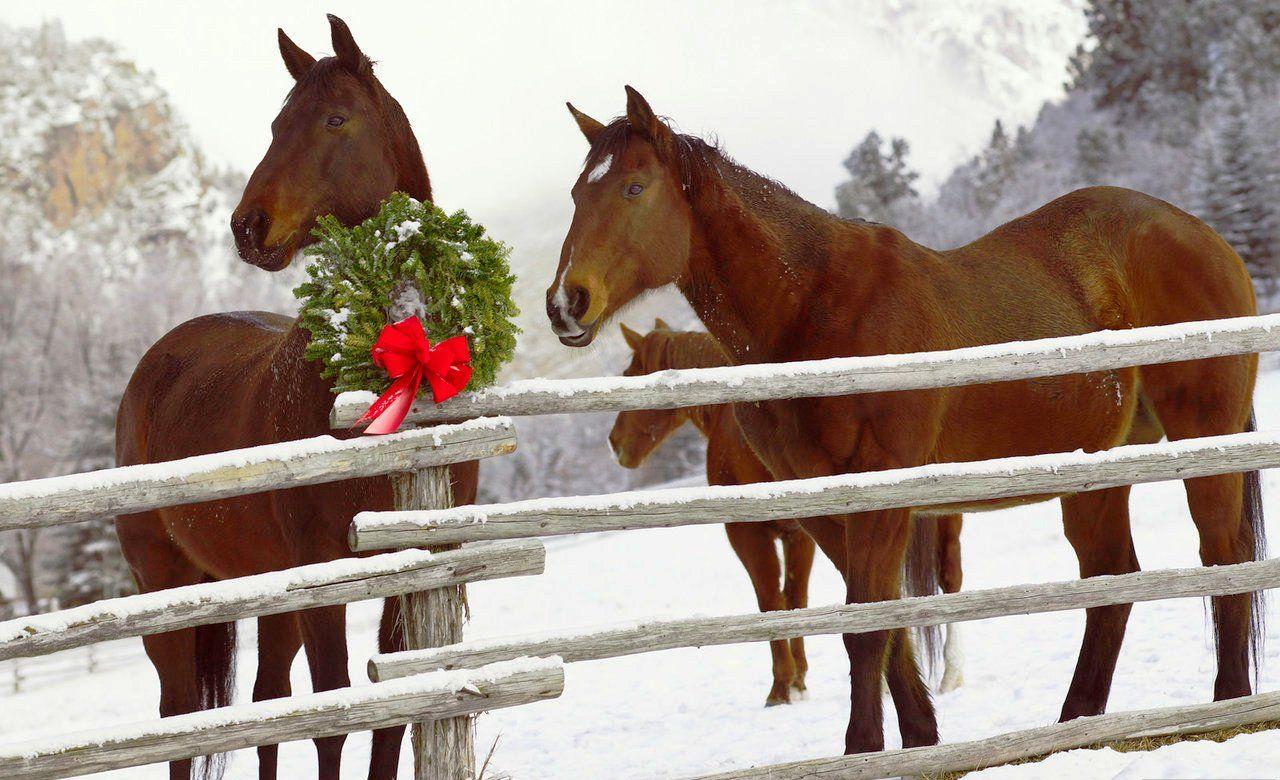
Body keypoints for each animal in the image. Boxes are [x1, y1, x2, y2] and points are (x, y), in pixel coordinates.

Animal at [114, 16, 473, 779]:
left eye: (336, 119)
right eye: (277, 124)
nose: (248, 228)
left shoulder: (409, 571)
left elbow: (389, 719)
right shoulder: (325, 578)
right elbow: (333, 719)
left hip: (271, 593)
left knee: (268, 703)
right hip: (167, 590)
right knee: (183, 720)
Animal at [607, 321, 967, 703]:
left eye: (629, 375)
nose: (615, 443)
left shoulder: (749, 534)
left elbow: (773, 601)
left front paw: (782, 686)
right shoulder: (801, 534)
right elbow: (795, 600)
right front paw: (799, 680)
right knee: (941, 578)